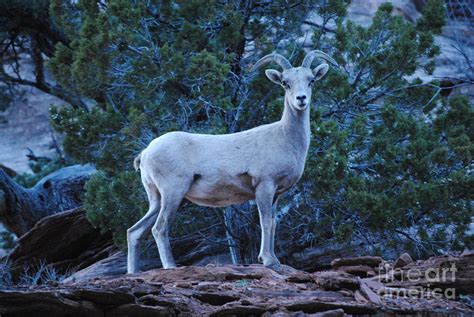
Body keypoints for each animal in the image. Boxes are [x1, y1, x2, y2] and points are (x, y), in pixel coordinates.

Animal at [126, 49, 334, 272]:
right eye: (285, 83)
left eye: (311, 80)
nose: (301, 99)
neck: (284, 137)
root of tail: (145, 153)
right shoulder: (264, 187)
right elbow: (265, 222)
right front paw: (268, 260)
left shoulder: (276, 194)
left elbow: (273, 224)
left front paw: (274, 260)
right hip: (172, 193)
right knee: (159, 228)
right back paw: (171, 266)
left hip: (156, 199)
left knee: (134, 232)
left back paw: (133, 272)